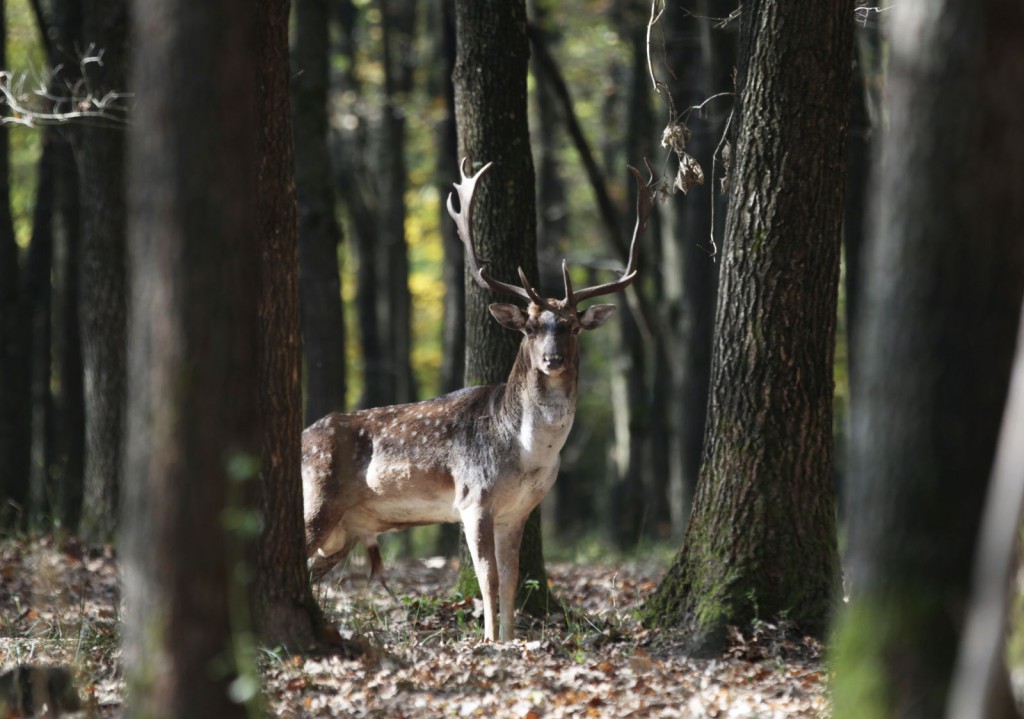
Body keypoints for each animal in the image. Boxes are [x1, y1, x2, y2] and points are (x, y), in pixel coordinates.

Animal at [301, 158, 655, 643]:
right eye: (530, 327)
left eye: (571, 326)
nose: (553, 358)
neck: (528, 453)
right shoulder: (473, 498)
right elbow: (486, 577)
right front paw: (489, 640)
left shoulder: (519, 510)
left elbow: (511, 577)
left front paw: (510, 638)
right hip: (315, 500)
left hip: (342, 532)